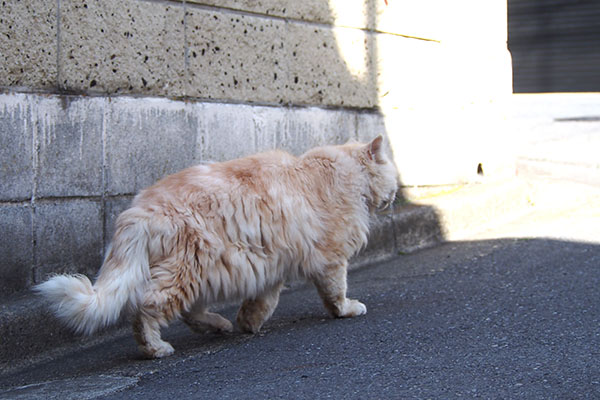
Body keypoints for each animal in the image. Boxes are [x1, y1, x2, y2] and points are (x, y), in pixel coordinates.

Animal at [32, 136, 398, 358]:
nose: (395, 196)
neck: (345, 171)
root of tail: (138, 209)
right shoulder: (331, 257)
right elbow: (336, 292)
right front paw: (347, 309)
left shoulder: (270, 264)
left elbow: (262, 301)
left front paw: (248, 324)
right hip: (187, 270)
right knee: (146, 309)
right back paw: (156, 347)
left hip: (205, 272)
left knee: (189, 313)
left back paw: (220, 326)